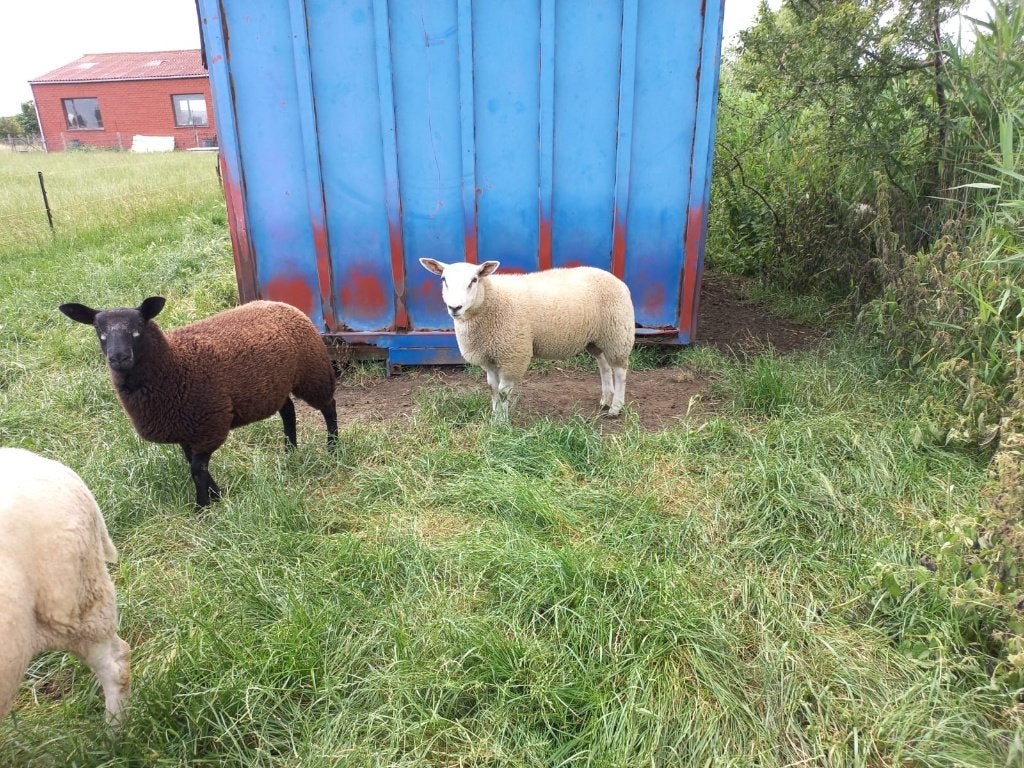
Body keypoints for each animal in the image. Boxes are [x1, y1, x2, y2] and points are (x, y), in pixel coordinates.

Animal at [59, 297, 338, 508]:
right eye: (100, 332)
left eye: (138, 328)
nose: (119, 357)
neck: (174, 363)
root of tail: (279, 303)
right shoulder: (184, 427)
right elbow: (191, 463)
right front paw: (215, 495)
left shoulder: (209, 424)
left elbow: (196, 468)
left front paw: (203, 506)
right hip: (274, 385)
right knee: (288, 411)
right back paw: (290, 450)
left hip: (312, 372)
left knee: (329, 406)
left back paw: (333, 447)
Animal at [418, 259, 635, 420]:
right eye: (444, 279)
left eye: (474, 279)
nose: (455, 308)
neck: (491, 300)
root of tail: (617, 280)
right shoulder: (489, 356)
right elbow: (492, 388)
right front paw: (495, 416)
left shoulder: (512, 354)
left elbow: (503, 391)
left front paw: (502, 422)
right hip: (597, 338)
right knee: (604, 365)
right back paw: (606, 400)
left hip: (618, 333)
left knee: (620, 371)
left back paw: (615, 408)